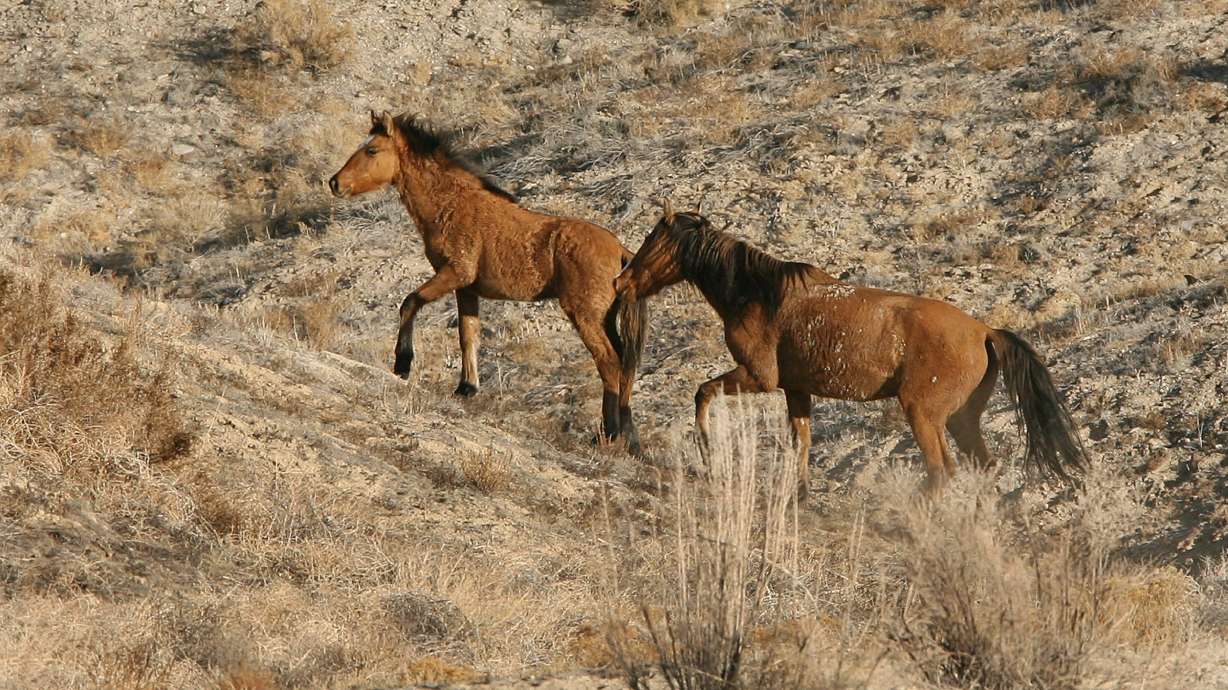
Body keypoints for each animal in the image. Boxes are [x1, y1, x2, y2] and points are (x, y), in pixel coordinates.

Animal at [329, 111, 648, 454]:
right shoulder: (467, 289)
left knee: (610, 363)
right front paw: (466, 387)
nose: (335, 183)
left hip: (585, 315)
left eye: (372, 150)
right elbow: (468, 336)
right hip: (606, 318)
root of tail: (621, 252)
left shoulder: (455, 273)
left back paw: (609, 434)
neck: (452, 204)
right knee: (625, 365)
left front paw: (403, 363)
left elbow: (410, 302)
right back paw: (628, 436)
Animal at [612, 204, 1087, 496]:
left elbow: (703, 392)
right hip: (960, 419)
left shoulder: (757, 378)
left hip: (925, 416)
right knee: (979, 467)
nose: (621, 282)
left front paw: (707, 449)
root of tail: (984, 332)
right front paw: (800, 493)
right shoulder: (796, 390)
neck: (760, 294)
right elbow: (800, 441)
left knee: (941, 472)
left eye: (654, 239)